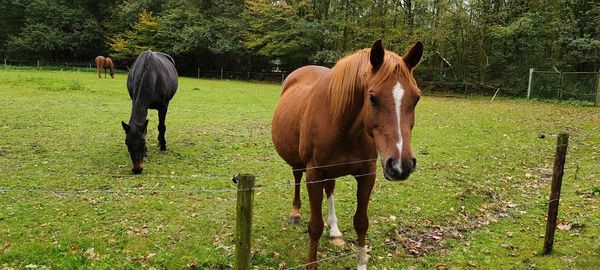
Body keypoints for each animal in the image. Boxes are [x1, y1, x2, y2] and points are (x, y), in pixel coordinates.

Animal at [270, 39, 422, 268]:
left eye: (417, 98)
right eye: (372, 98)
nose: (400, 165)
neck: (343, 124)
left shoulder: (367, 174)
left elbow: (361, 222)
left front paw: (361, 263)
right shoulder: (314, 175)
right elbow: (315, 227)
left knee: (330, 189)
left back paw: (334, 230)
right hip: (299, 162)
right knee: (297, 176)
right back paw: (295, 212)